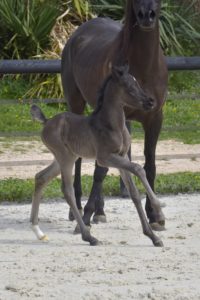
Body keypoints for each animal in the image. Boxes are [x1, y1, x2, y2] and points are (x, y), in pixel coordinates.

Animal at [29, 65, 164, 246]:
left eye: (137, 82)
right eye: (128, 86)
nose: (150, 102)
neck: (112, 125)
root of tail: (46, 121)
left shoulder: (122, 157)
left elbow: (134, 193)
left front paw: (153, 236)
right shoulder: (105, 157)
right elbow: (138, 169)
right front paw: (158, 208)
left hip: (65, 157)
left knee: (41, 177)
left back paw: (38, 231)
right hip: (65, 158)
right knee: (67, 190)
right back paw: (89, 236)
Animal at [61, 0, 168, 230]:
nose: (146, 16)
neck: (145, 67)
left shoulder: (155, 118)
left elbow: (150, 165)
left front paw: (154, 216)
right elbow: (100, 170)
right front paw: (86, 215)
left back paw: (100, 211)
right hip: (76, 104)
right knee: (79, 157)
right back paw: (78, 209)